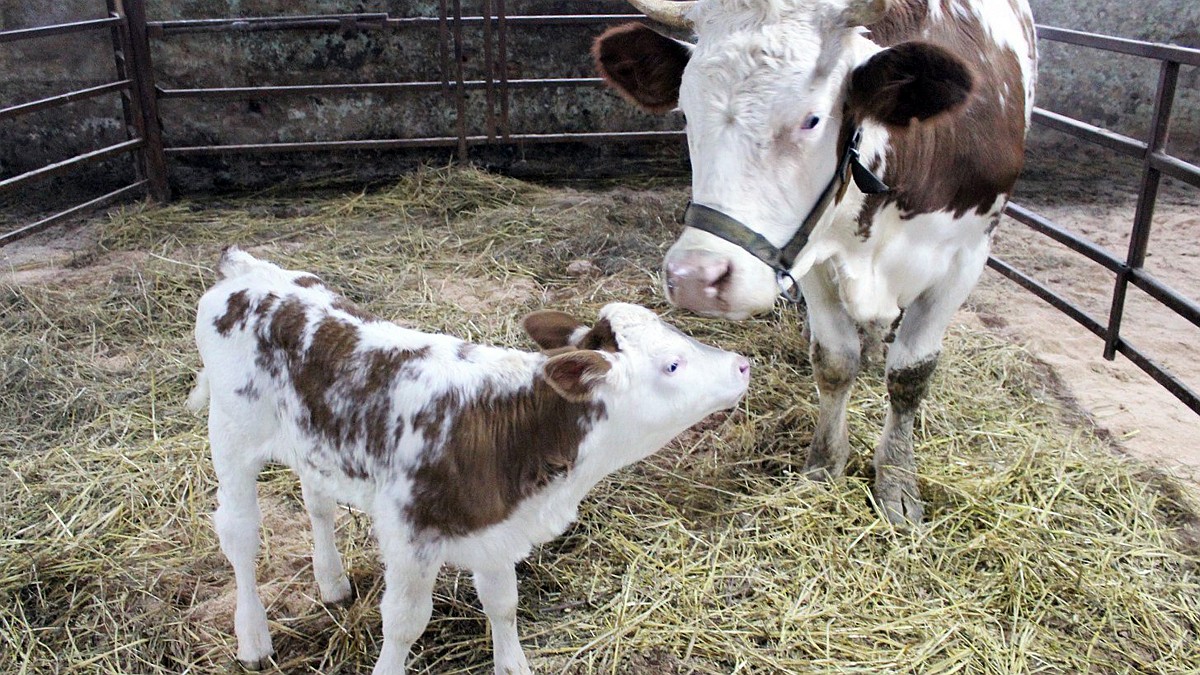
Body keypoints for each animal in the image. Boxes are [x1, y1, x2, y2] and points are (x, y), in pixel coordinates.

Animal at [187, 248, 748, 672]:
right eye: (672, 364)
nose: (742, 364)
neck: (509, 429)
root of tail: (248, 271)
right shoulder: (409, 534)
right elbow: (404, 623)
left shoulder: (495, 526)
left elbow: (502, 602)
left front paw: (513, 665)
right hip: (231, 435)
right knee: (240, 535)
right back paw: (253, 637)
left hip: (312, 442)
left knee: (317, 502)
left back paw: (332, 582)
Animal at [595, 0, 1036, 523]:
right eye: (686, 112)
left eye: (812, 119)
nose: (696, 279)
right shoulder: (812, 259)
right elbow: (834, 361)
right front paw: (825, 465)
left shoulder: (965, 258)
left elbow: (911, 372)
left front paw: (897, 479)